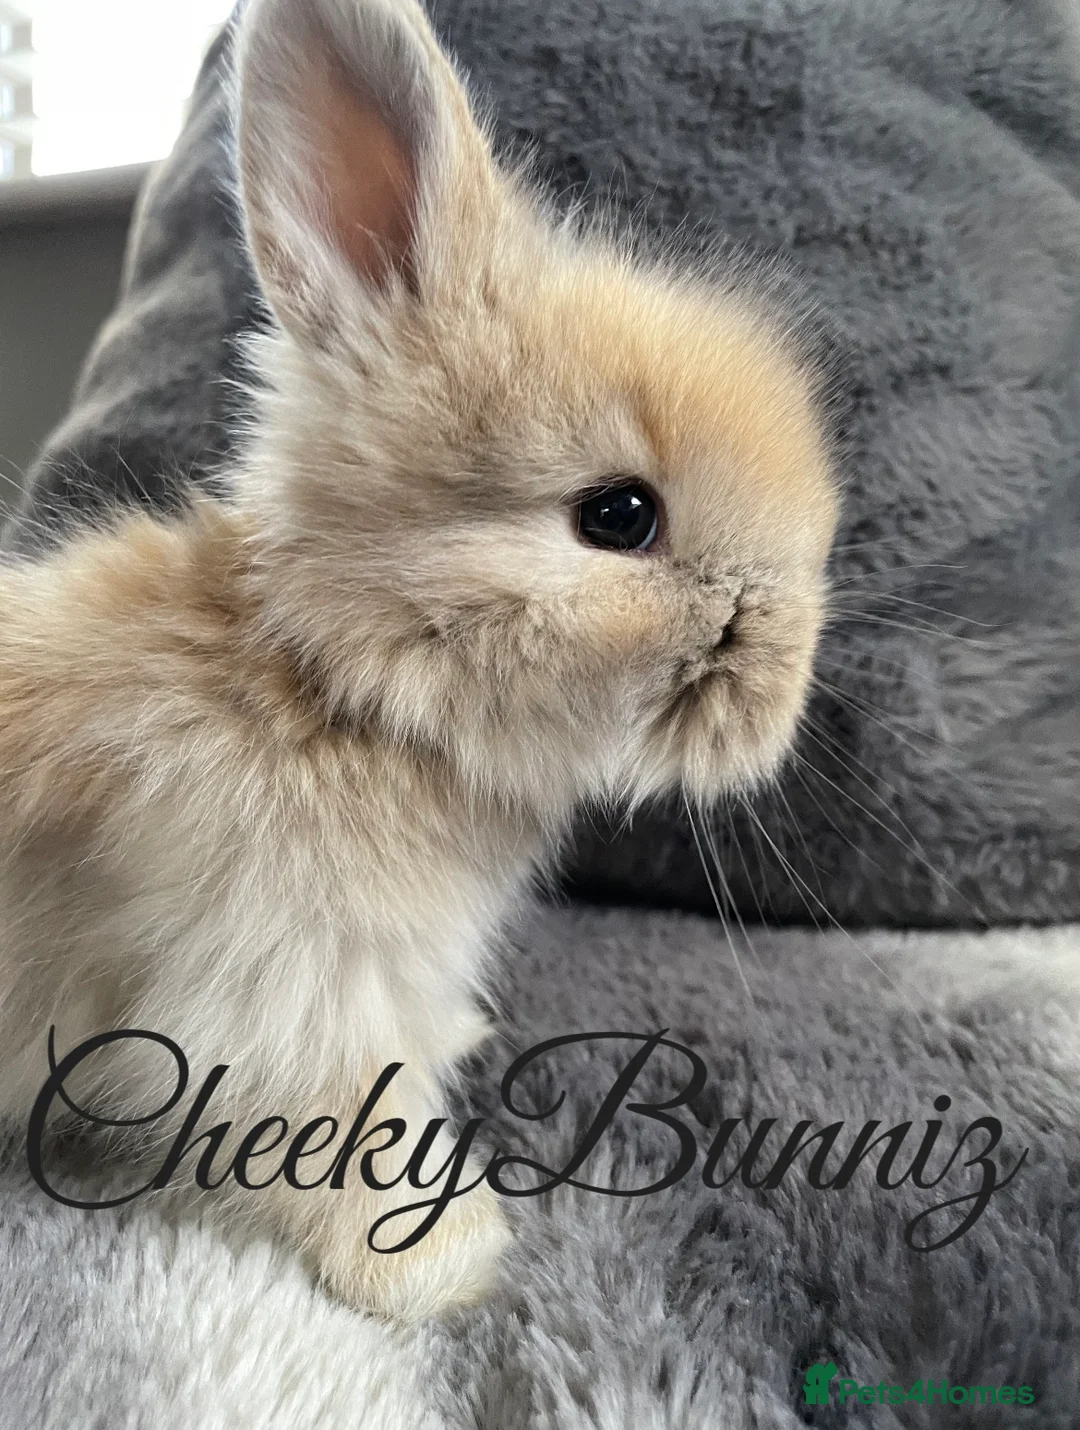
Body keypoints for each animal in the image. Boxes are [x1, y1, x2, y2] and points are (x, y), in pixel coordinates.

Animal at [0, 0, 838, 1320]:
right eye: (619, 516)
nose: (785, 683)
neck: (335, 688)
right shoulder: (280, 988)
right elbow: (341, 1125)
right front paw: (448, 1261)